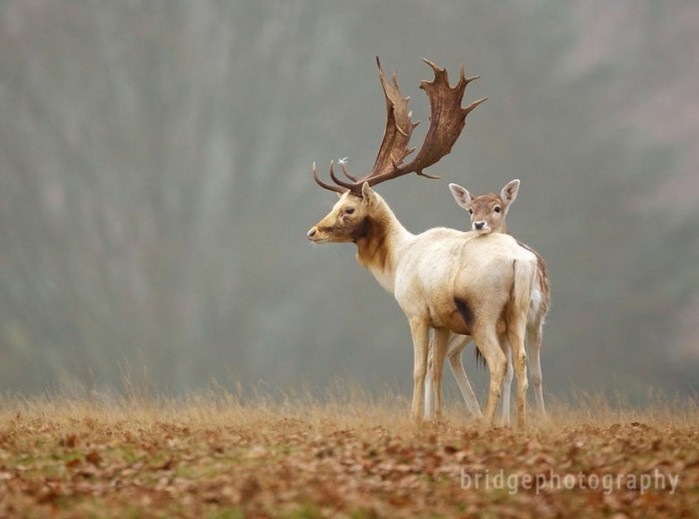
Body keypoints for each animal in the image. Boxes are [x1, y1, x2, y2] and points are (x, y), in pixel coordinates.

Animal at [304, 59, 536, 428]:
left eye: (348, 209)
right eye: (335, 203)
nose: (313, 232)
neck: (398, 261)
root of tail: (520, 261)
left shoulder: (415, 312)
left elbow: (417, 369)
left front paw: (414, 418)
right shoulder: (441, 322)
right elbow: (435, 370)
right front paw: (435, 418)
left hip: (483, 312)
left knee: (500, 363)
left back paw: (486, 422)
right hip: (518, 312)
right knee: (522, 362)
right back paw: (521, 425)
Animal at [422, 181, 552, 424]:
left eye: (497, 208)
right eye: (470, 209)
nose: (479, 224)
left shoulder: (537, 319)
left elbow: (535, 374)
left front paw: (539, 418)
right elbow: (511, 371)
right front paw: (506, 421)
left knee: (447, 354)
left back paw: (470, 413)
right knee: (436, 355)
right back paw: (431, 416)